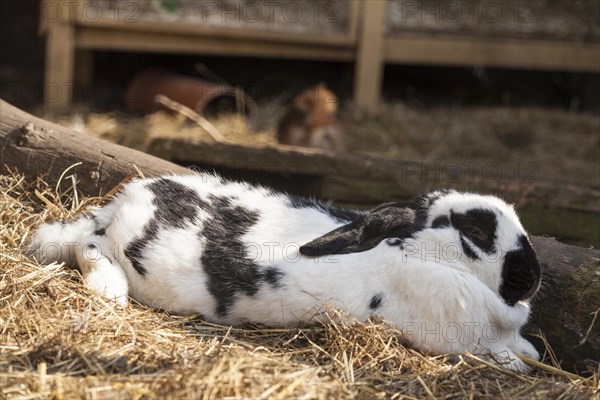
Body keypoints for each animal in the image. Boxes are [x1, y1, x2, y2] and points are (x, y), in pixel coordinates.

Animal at [29, 173, 544, 374]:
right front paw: (519, 363)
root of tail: (127, 198)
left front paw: (531, 352)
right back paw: (109, 292)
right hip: (117, 246)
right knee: (89, 246)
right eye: (474, 231)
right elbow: (506, 357)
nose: (534, 276)